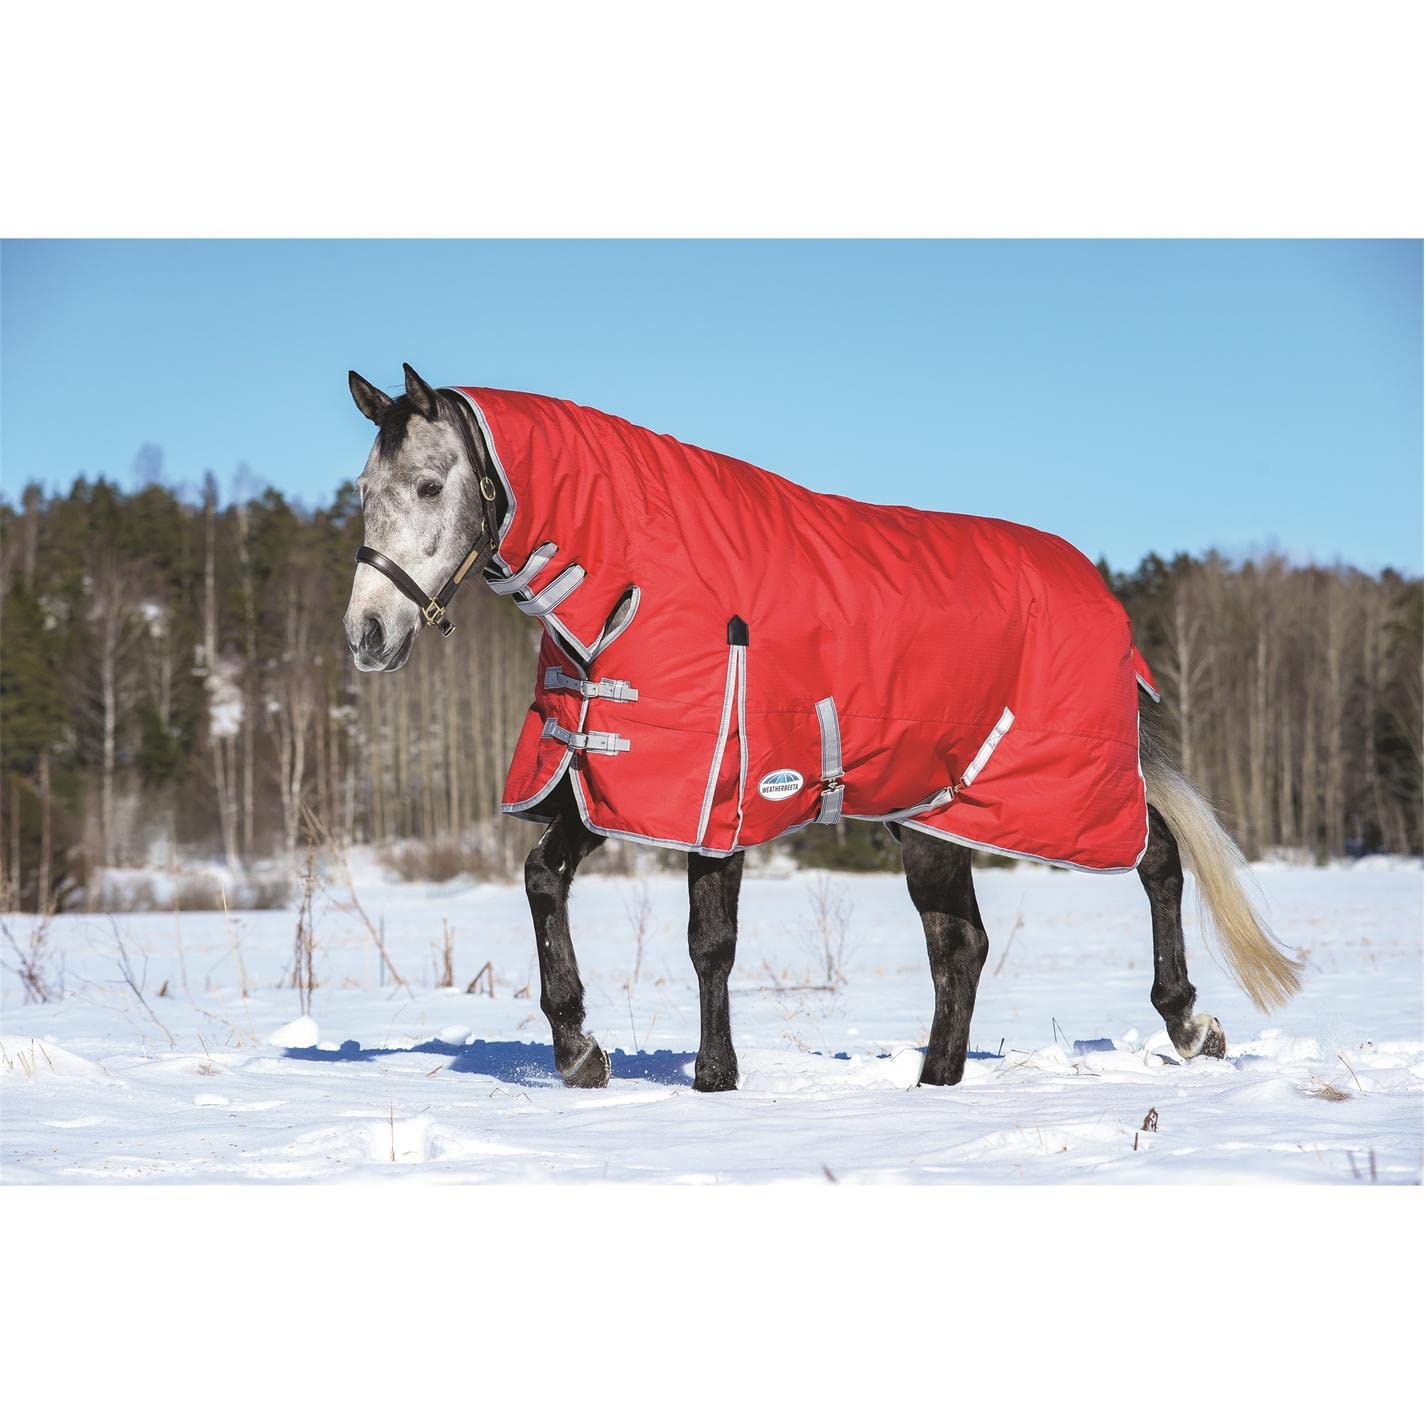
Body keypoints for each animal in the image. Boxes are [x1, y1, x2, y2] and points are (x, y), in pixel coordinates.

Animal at [343, 362, 1301, 1091]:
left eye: (429, 484)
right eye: (362, 491)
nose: (367, 635)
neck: (629, 585)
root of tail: (1103, 600)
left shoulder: (717, 794)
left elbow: (709, 942)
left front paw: (713, 1077)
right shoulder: (608, 779)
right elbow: (543, 879)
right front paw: (581, 1051)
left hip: (1062, 793)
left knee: (1156, 859)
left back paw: (1190, 1025)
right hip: (937, 818)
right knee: (961, 945)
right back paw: (934, 1083)